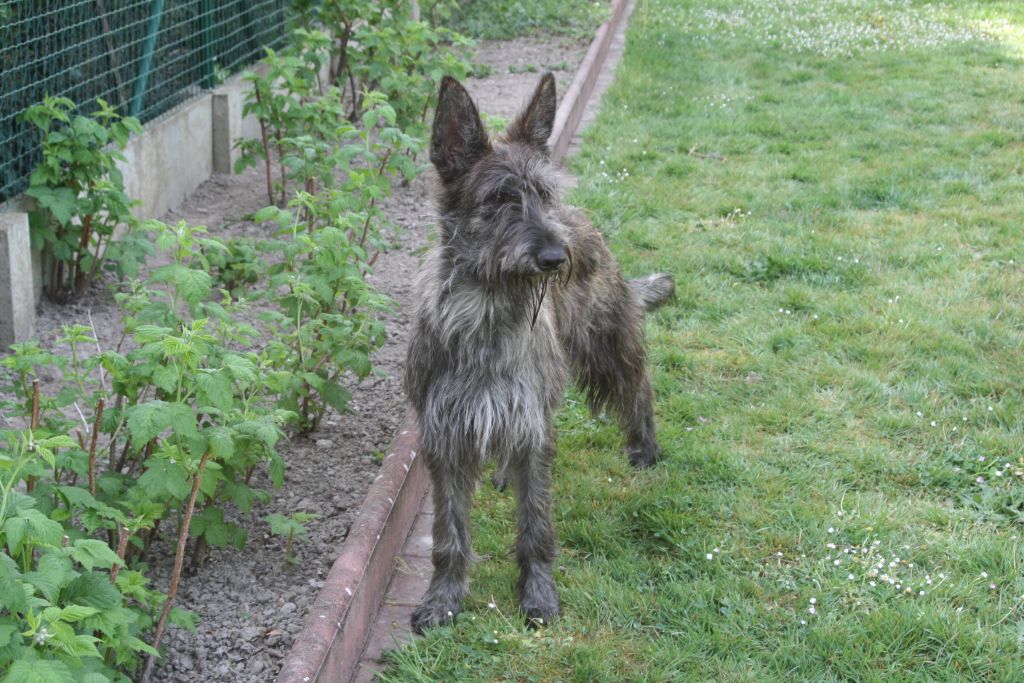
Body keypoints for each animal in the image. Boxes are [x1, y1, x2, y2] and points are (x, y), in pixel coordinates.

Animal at [403, 72, 675, 634]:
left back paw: (645, 447)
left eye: (542, 194)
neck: (486, 315)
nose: (554, 257)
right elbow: (449, 533)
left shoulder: (531, 428)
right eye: (500, 198)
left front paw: (538, 594)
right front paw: (444, 599)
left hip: (607, 343)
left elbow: (536, 525)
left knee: (638, 385)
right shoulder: (445, 435)